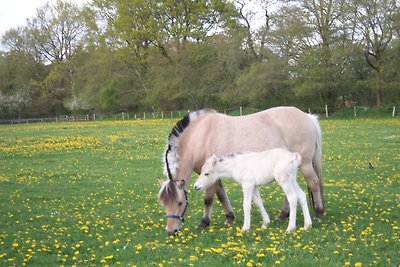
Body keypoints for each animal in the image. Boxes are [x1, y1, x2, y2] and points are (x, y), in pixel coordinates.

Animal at [158, 107, 324, 234]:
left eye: (180, 203)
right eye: (164, 204)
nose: (170, 231)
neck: (201, 136)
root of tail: (307, 117)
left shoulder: (210, 176)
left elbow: (209, 199)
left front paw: (204, 222)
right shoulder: (213, 176)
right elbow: (221, 195)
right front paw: (229, 217)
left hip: (305, 165)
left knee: (313, 184)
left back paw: (318, 213)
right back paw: (283, 215)